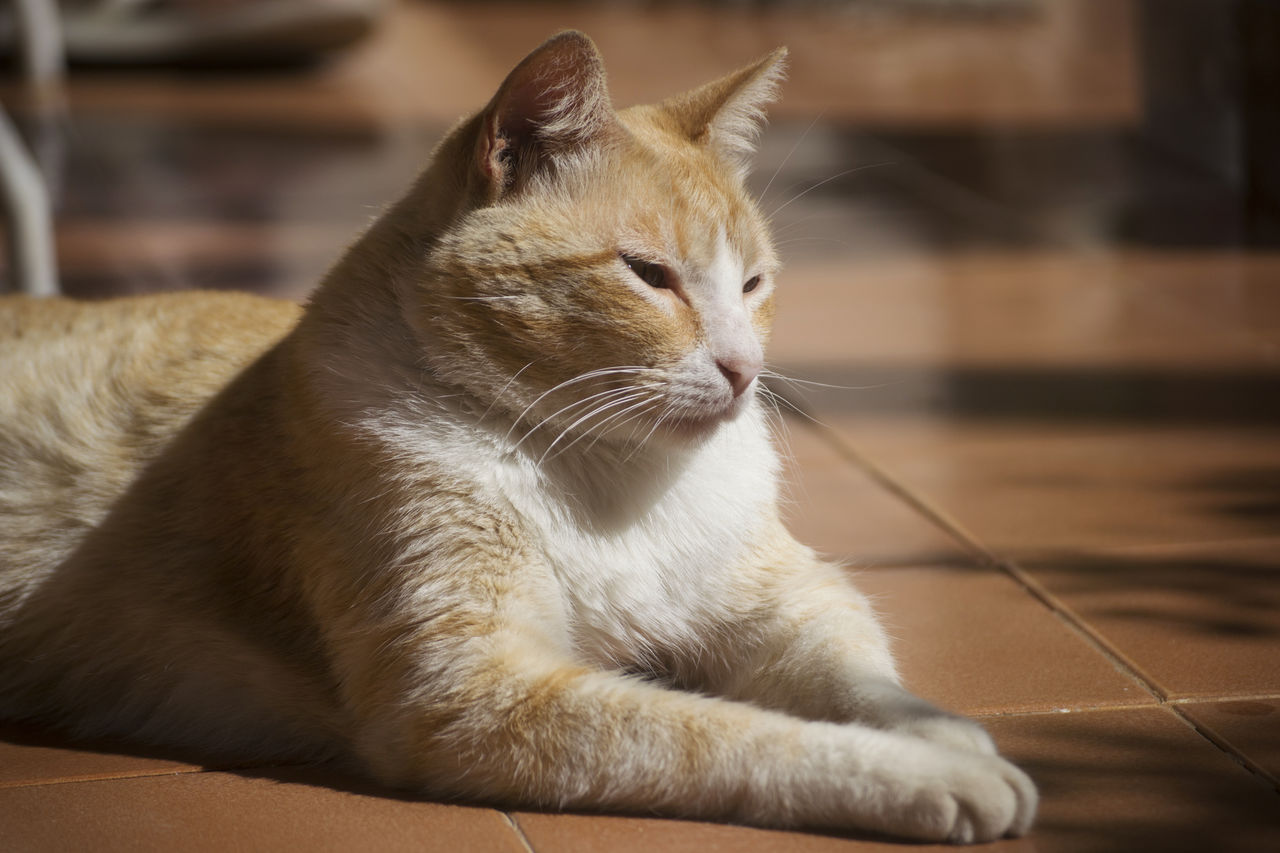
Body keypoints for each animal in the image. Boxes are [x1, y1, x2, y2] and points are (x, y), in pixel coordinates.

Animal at [0, 31, 1034, 835]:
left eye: (753, 284)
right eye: (650, 275)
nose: (744, 368)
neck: (606, 472)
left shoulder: (785, 594)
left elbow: (862, 677)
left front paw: (948, 734)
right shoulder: (478, 691)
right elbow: (732, 735)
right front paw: (943, 779)